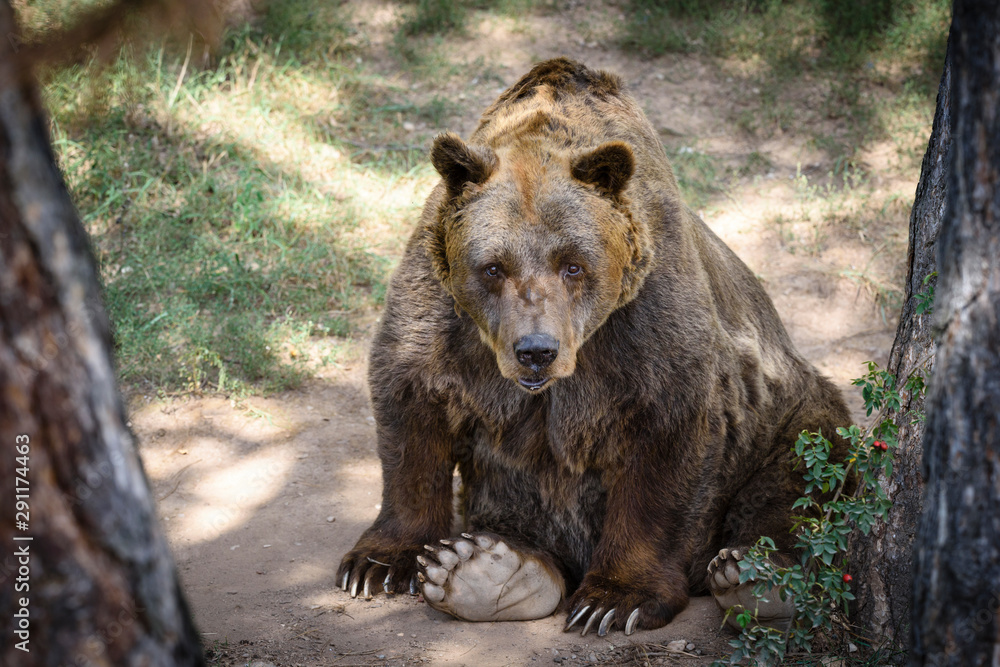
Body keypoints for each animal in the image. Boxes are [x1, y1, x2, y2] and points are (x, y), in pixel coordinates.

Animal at [337, 58, 850, 636]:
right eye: (492, 267)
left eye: (573, 264)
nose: (536, 350)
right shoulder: (441, 316)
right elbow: (412, 408)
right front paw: (378, 563)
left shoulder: (647, 326)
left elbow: (667, 442)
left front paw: (615, 598)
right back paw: (487, 569)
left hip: (784, 412)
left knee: (801, 472)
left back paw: (757, 575)